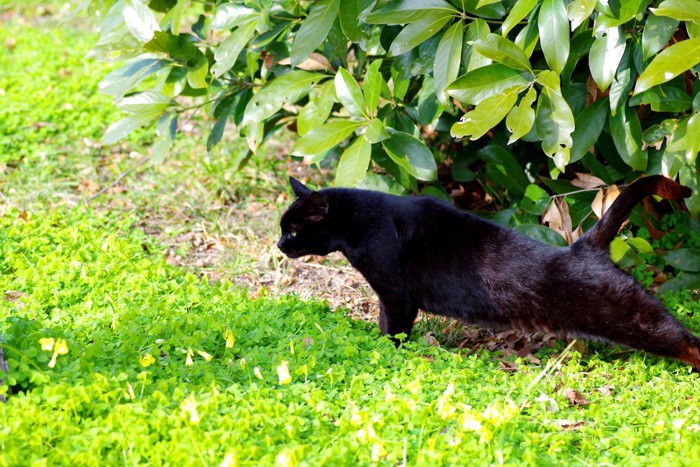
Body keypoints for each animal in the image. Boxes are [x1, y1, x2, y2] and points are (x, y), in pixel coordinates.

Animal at [278, 174, 700, 372]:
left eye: (294, 231)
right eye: (283, 229)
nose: (279, 245)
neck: (358, 223)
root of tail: (585, 245)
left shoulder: (396, 297)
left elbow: (392, 332)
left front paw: (385, 354)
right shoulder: (391, 299)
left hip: (632, 317)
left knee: (685, 339)